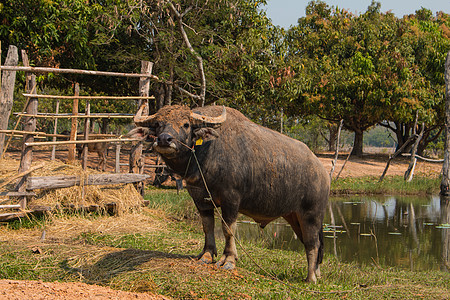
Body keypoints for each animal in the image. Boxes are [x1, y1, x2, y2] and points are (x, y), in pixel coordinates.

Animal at [128, 104, 328, 282]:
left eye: (186, 124)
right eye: (158, 124)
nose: (164, 139)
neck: (207, 152)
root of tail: (322, 172)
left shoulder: (231, 199)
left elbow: (228, 229)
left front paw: (229, 260)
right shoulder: (200, 198)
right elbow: (207, 226)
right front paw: (207, 255)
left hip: (311, 215)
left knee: (312, 244)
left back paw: (310, 278)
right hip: (294, 216)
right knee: (312, 243)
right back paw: (317, 273)